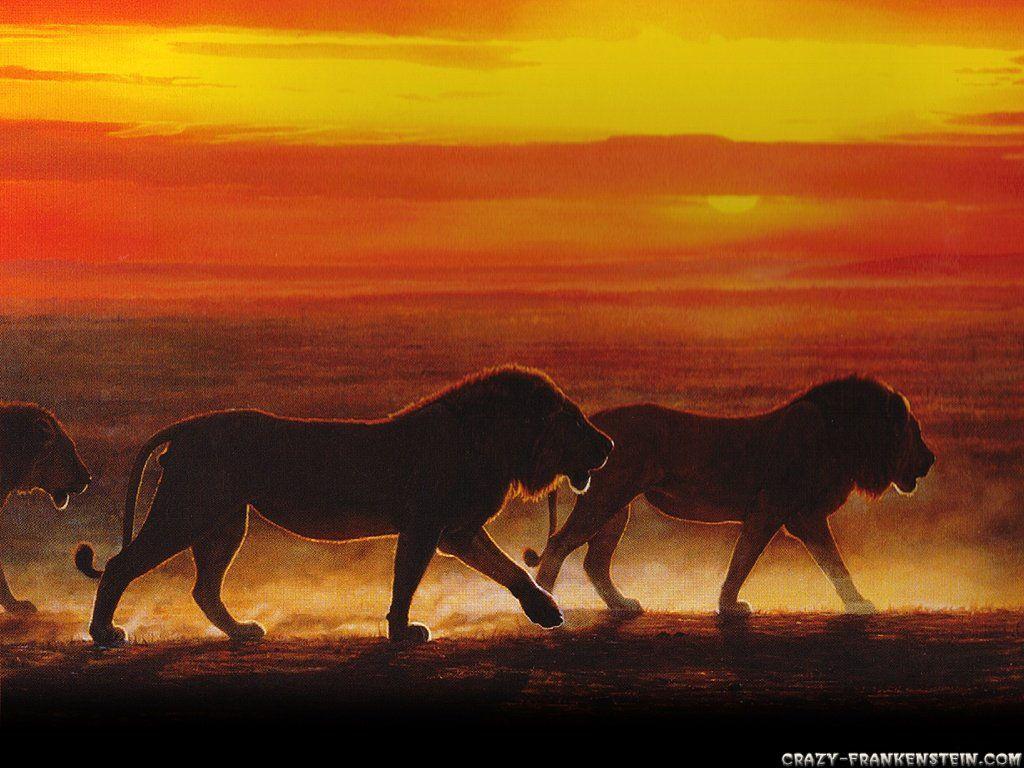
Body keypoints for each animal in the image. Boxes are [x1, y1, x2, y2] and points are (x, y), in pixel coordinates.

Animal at [76, 366, 613, 647]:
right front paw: (402, 633)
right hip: (187, 511)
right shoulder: (426, 527)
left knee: (204, 588)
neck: (495, 443)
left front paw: (545, 612)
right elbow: (406, 580)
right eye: (574, 421)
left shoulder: (455, 532)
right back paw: (104, 634)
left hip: (224, 522)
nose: (608, 444)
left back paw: (242, 632)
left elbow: (509, 570)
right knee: (121, 566)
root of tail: (184, 426)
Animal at [524, 376, 934, 616]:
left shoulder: (803, 517)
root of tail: (594, 424)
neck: (845, 439)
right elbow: (746, 560)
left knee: (594, 562)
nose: (931, 459)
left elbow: (832, 563)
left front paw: (855, 602)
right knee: (559, 543)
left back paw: (623, 606)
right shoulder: (775, 510)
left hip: (616, 507)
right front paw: (730, 606)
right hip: (605, 500)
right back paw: (545, 605)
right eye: (913, 431)